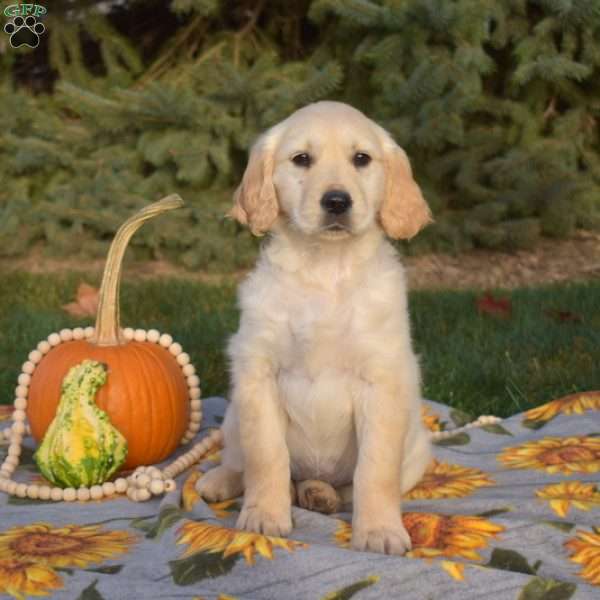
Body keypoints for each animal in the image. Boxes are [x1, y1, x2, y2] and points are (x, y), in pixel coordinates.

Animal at [199, 101, 434, 556]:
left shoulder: (382, 380)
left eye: (361, 158)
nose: (337, 201)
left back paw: (320, 494)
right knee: (239, 459)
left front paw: (379, 530)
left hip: (416, 451)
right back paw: (220, 481)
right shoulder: (258, 372)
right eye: (302, 159)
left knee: (346, 487)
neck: (326, 268)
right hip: (234, 414)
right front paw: (263, 515)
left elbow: (374, 469)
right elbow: (266, 456)